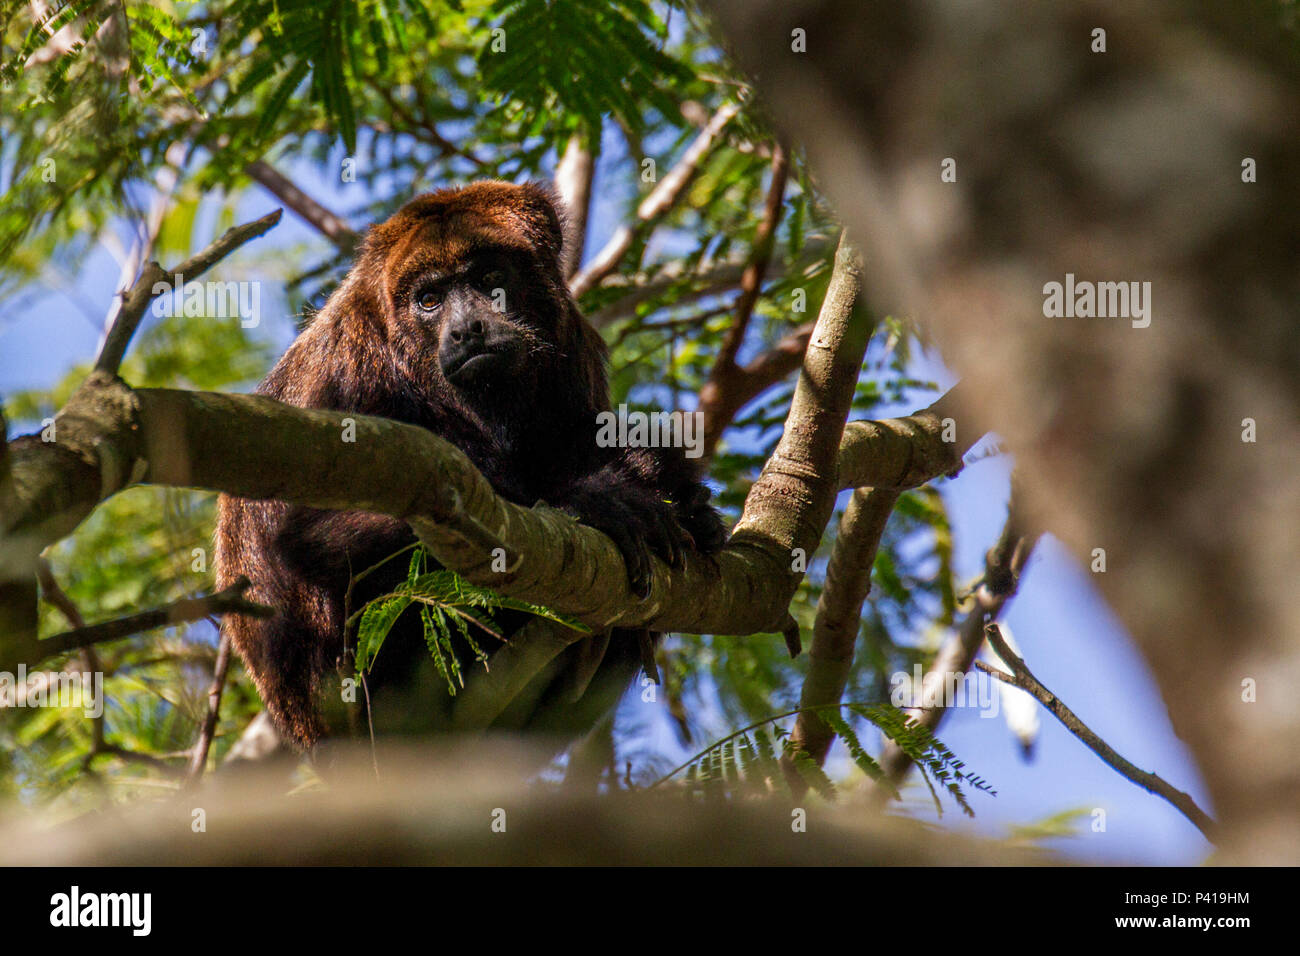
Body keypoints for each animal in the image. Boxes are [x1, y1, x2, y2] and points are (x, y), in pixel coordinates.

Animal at [211, 179, 722, 749]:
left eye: (489, 279)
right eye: (429, 300)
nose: (467, 330)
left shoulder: (574, 340)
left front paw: (669, 486)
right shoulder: (349, 369)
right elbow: (307, 533)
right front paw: (600, 501)